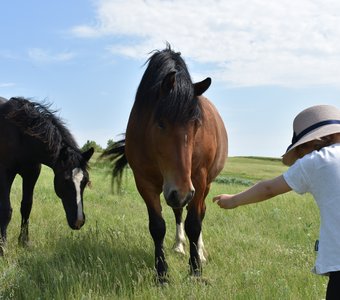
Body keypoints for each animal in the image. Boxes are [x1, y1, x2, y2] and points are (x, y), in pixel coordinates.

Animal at [0, 97, 93, 254]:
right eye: (66, 181)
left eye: (85, 181)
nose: (78, 221)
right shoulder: (5, 173)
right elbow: (6, 210)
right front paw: (2, 247)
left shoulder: (31, 174)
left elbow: (26, 207)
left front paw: (24, 242)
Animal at [102, 45, 227, 282]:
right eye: (160, 123)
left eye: (196, 124)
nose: (183, 192)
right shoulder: (145, 182)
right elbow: (157, 226)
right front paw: (162, 274)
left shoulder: (197, 180)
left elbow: (194, 223)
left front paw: (195, 271)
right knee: (178, 212)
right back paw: (179, 245)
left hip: (202, 185)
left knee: (200, 212)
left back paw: (199, 252)